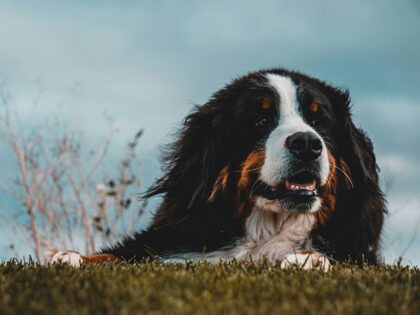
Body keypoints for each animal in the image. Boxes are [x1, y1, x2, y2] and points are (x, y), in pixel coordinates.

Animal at [49, 68, 388, 270]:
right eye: (261, 120)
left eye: (319, 121)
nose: (306, 143)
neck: (264, 234)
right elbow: (121, 255)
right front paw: (71, 257)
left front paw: (309, 260)